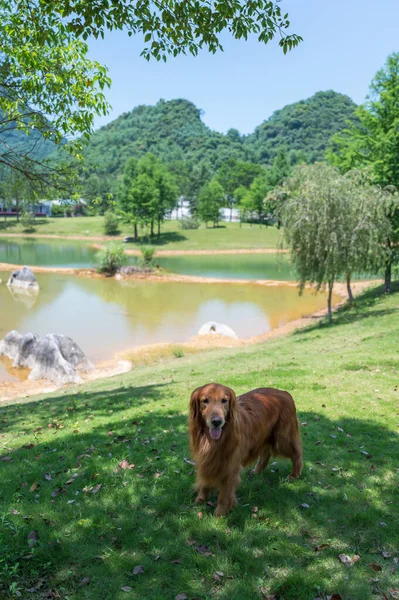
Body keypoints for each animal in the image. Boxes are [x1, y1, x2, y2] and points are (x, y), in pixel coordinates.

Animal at [189, 384, 302, 516]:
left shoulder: (230, 465)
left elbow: (225, 493)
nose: (217, 422)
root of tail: (284, 392)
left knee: (296, 453)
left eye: (224, 400)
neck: (213, 440)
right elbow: (205, 480)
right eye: (205, 401)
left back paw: (295, 474)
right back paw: (257, 471)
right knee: (266, 453)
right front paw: (200, 499)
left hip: (283, 439)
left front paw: (220, 513)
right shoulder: (205, 458)